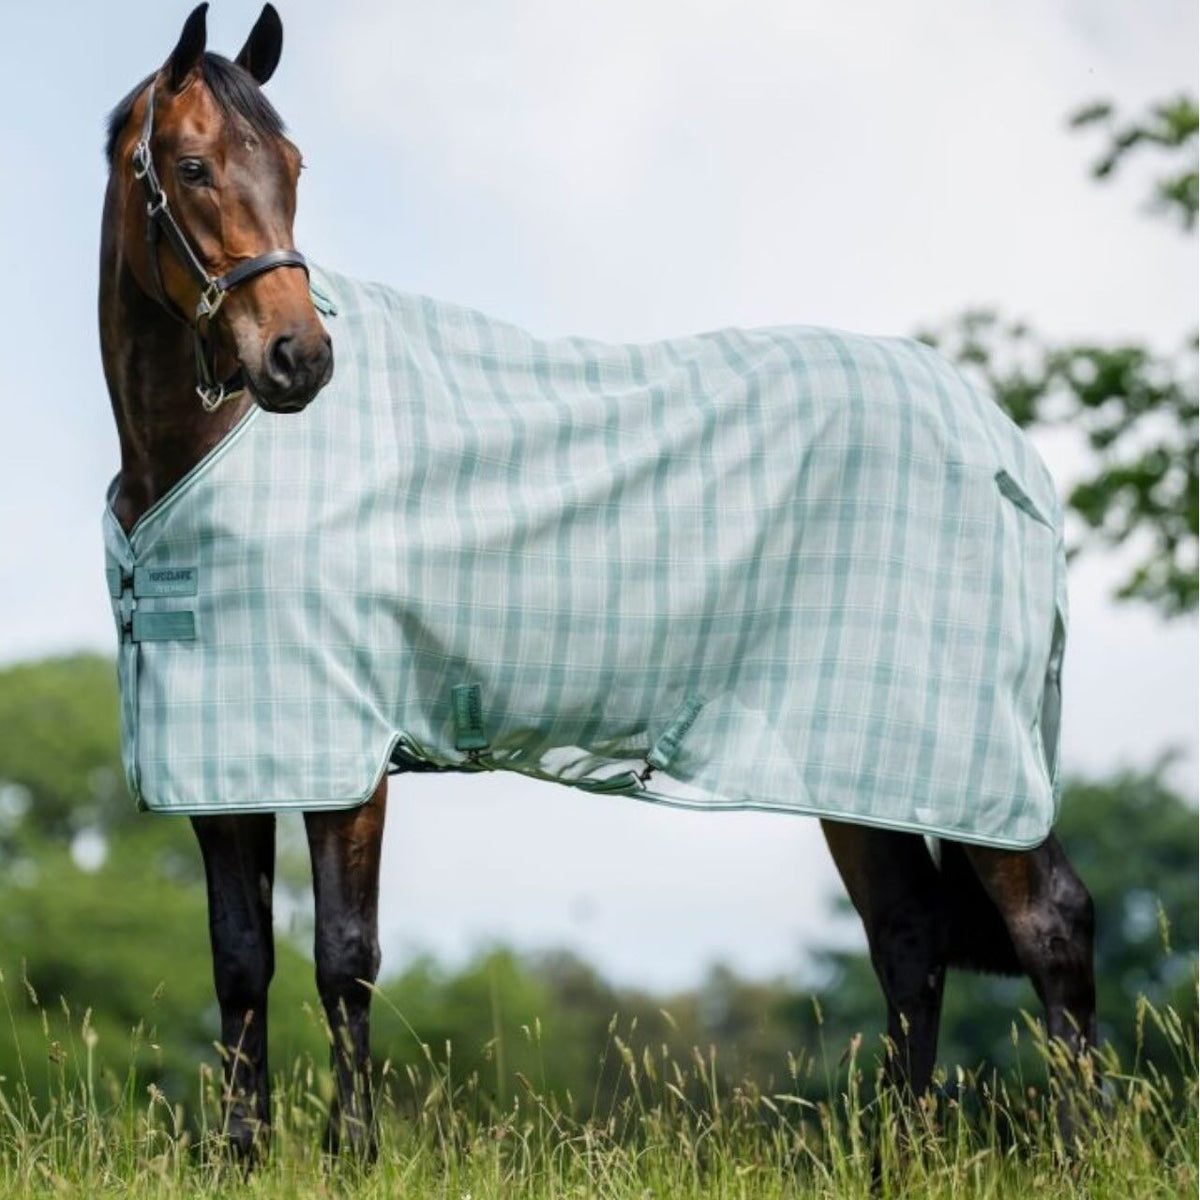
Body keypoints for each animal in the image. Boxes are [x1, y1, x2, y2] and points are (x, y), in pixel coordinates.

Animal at [99, 3, 1096, 1161]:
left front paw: (354, 1157)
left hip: (967, 753)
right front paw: (241, 1153)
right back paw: (899, 1156)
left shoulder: (344, 754)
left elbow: (345, 958)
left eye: (294, 164)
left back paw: (1084, 1144)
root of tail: (1008, 450)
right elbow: (239, 960)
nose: (299, 359)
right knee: (909, 938)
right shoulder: (222, 754)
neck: (206, 455)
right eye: (193, 165)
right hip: (860, 761)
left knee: (1049, 922)